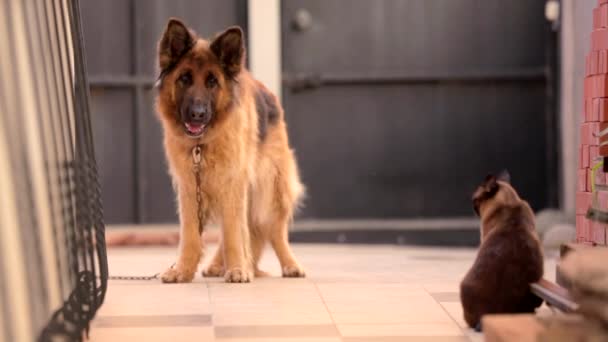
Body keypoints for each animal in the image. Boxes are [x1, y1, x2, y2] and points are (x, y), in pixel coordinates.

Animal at [154, 18, 306, 284]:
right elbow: (191, 234)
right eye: (184, 78)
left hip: (271, 188)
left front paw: (237, 269)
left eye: (212, 82)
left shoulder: (232, 182)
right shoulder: (189, 186)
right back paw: (218, 265)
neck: (201, 146)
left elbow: (235, 231)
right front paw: (183, 270)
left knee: (274, 230)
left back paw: (289, 265)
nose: (197, 114)